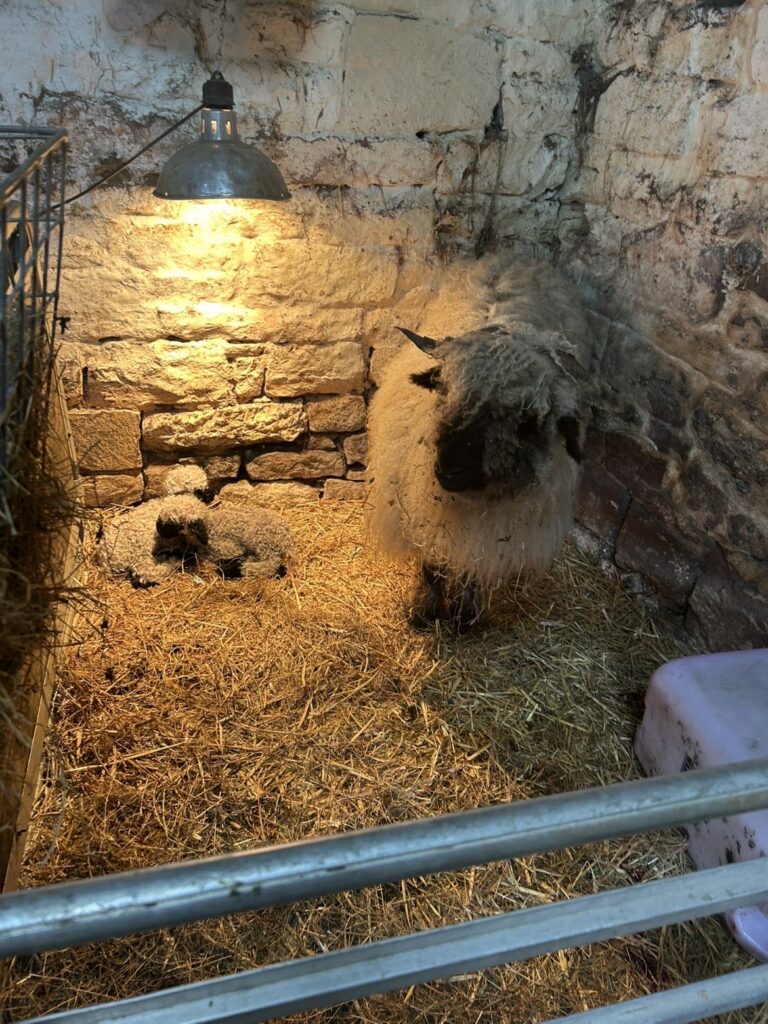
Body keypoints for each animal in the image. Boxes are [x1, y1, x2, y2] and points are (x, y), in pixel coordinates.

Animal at [366, 258, 594, 628]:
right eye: (442, 389)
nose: (449, 469)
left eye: (527, 422)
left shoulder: (489, 532)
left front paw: (464, 613)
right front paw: (426, 609)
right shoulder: (426, 509)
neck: (470, 503)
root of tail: (519, 259)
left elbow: (472, 569)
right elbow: (433, 560)